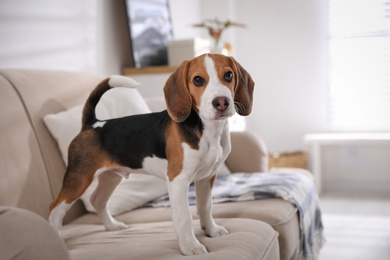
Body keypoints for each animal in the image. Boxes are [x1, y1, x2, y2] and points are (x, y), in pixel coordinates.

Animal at [48, 53, 254, 256]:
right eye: (198, 80)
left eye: (228, 75)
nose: (221, 102)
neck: (208, 130)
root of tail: (91, 124)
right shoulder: (178, 180)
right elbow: (184, 217)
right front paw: (191, 247)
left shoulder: (207, 176)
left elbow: (205, 206)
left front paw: (211, 230)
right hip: (79, 178)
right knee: (55, 210)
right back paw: (57, 243)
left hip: (110, 177)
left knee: (97, 200)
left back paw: (112, 226)